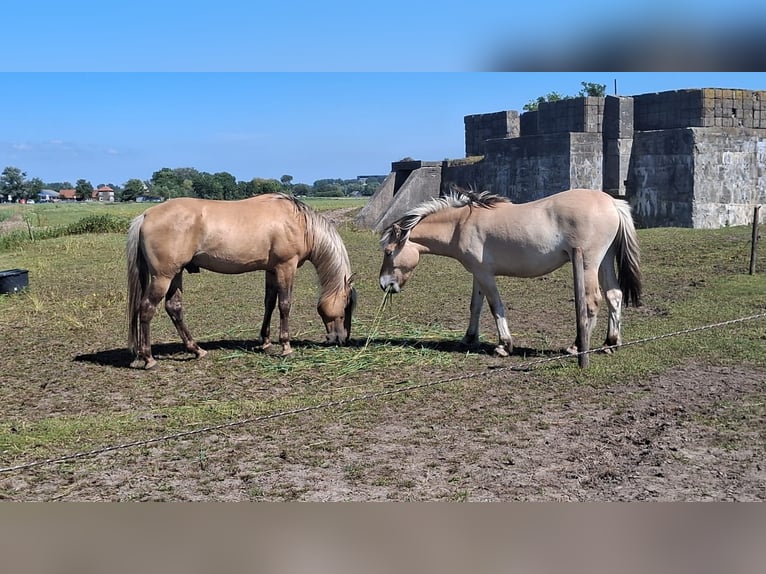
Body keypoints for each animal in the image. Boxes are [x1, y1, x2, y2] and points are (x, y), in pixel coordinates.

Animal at [127, 194, 356, 372]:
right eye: (345, 308)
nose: (341, 339)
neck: (299, 222)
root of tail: (146, 215)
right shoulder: (286, 267)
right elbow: (284, 305)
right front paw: (285, 346)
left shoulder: (271, 270)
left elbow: (269, 303)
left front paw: (265, 342)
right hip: (163, 277)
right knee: (146, 309)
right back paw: (149, 359)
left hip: (175, 275)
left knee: (174, 308)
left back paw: (196, 350)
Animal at [382, 189, 640, 358]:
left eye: (387, 251)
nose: (385, 284)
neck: (460, 225)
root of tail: (612, 202)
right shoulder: (478, 274)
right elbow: (475, 307)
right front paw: (468, 339)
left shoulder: (486, 275)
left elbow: (496, 307)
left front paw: (504, 345)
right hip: (604, 262)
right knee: (614, 295)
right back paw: (611, 343)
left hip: (588, 264)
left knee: (591, 301)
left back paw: (577, 345)